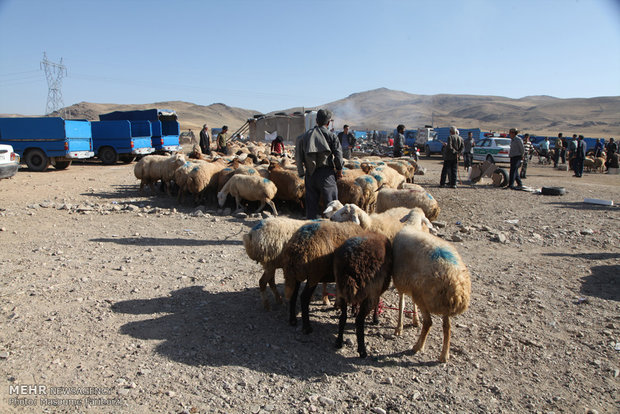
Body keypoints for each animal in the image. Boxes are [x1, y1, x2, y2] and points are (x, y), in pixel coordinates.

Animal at [390, 223, 472, 362]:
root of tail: (456, 283)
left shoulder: (402, 284)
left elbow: (402, 305)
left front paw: (399, 328)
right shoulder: (412, 287)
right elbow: (409, 304)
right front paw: (415, 320)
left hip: (426, 298)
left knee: (428, 322)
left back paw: (417, 347)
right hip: (442, 303)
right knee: (447, 327)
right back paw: (444, 355)